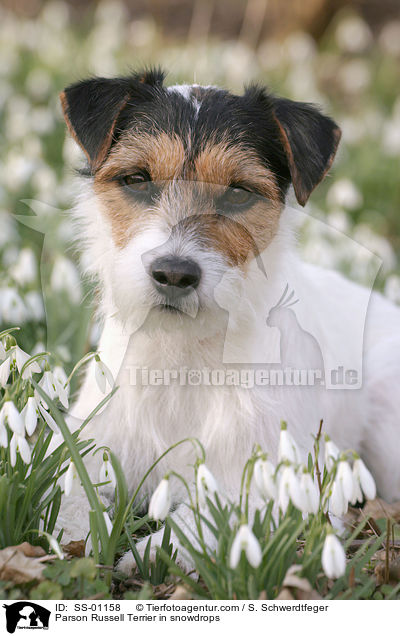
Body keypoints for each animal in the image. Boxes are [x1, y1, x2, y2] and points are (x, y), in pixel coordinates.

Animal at [55, 68, 400, 572]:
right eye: (137, 179)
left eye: (238, 191)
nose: (174, 273)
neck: (182, 357)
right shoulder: (95, 442)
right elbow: (61, 498)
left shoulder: (275, 478)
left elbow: (210, 515)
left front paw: (155, 552)